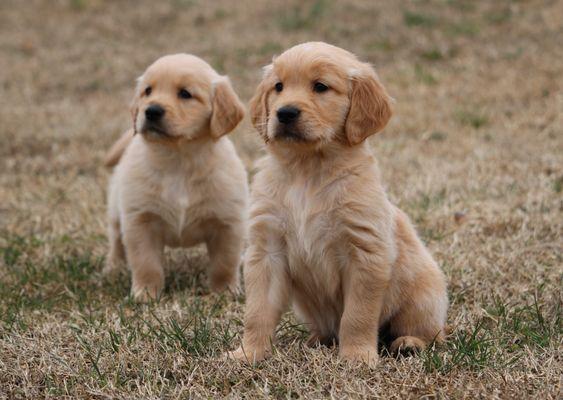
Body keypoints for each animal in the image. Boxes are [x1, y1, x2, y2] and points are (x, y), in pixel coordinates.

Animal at [104, 54, 249, 302]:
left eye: (185, 94)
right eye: (147, 91)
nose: (151, 110)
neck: (178, 161)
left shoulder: (228, 222)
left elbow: (224, 264)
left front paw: (225, 292)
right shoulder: (140, 220)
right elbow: (146, 263)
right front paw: (145, 294)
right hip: (116, 208)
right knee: (115, 239)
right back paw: (114, 267)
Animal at [229, 43, 450, 366]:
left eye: (320, 87)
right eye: (278, 87)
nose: (285, 112)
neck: (307, 171)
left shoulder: (364, 253)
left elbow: (357, 316)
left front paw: (357, 357)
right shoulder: (266, 251)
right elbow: (257, 312)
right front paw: (248, 353)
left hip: (424, 297)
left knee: (432, 334)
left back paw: (409, 343)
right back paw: (315, 340)